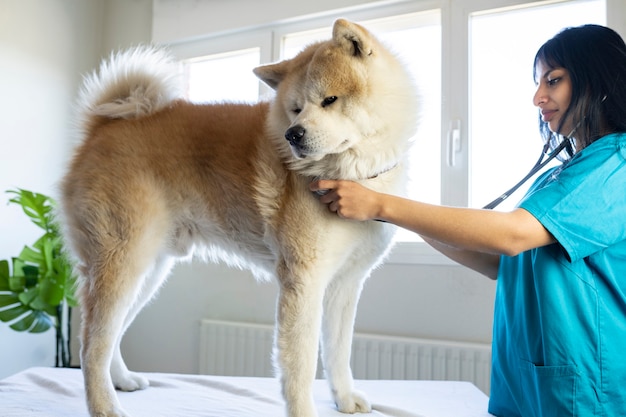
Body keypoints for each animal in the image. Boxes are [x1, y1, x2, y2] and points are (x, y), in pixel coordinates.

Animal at [59, 17, 420, 414]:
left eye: (330, 99)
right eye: (295, 108)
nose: (293, 134)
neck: (351, 174)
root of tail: (101, 128)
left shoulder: (344, 284)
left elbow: (338, 352)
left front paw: (344, 397)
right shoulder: (304, 282)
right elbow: (301, 366)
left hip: (147, 271)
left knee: (109, 336)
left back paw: (121, 380)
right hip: (122, 262)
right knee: (91, 346)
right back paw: (105, 406)